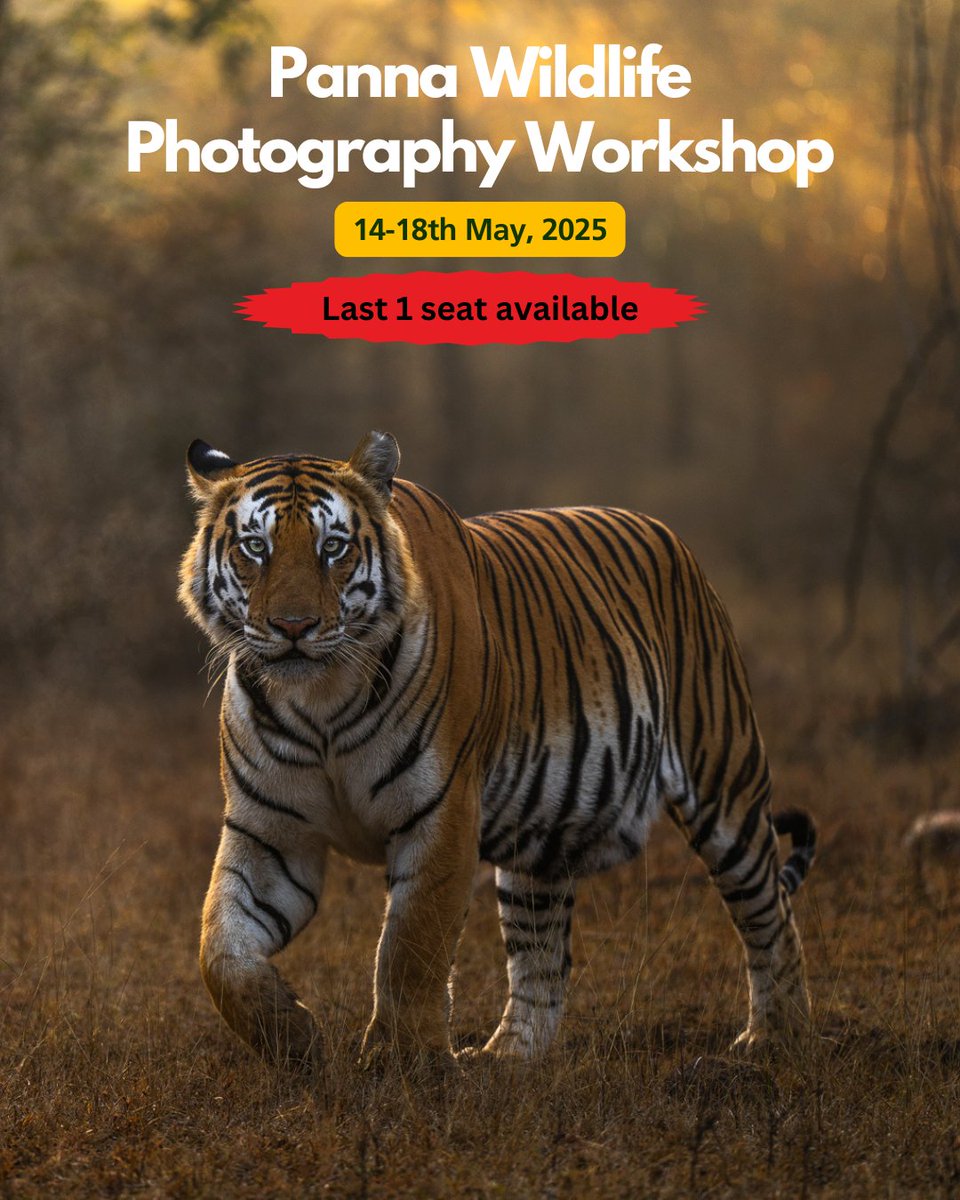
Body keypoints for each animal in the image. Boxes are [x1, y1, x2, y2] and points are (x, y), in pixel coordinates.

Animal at [178, 430, 816, 1069]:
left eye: (332, 547)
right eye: (255, 547)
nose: (293, 626)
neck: (319, 703)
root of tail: (667, 533)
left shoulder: (440, 815)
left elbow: (411, 945)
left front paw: (398, 1061)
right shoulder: (270, 833)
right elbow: (219, 949)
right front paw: (293, 1037)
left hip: (724, 782)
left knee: (770, 913)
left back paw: (775, 1038)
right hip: (543, 842)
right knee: (542, 958)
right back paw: (508, 1057)